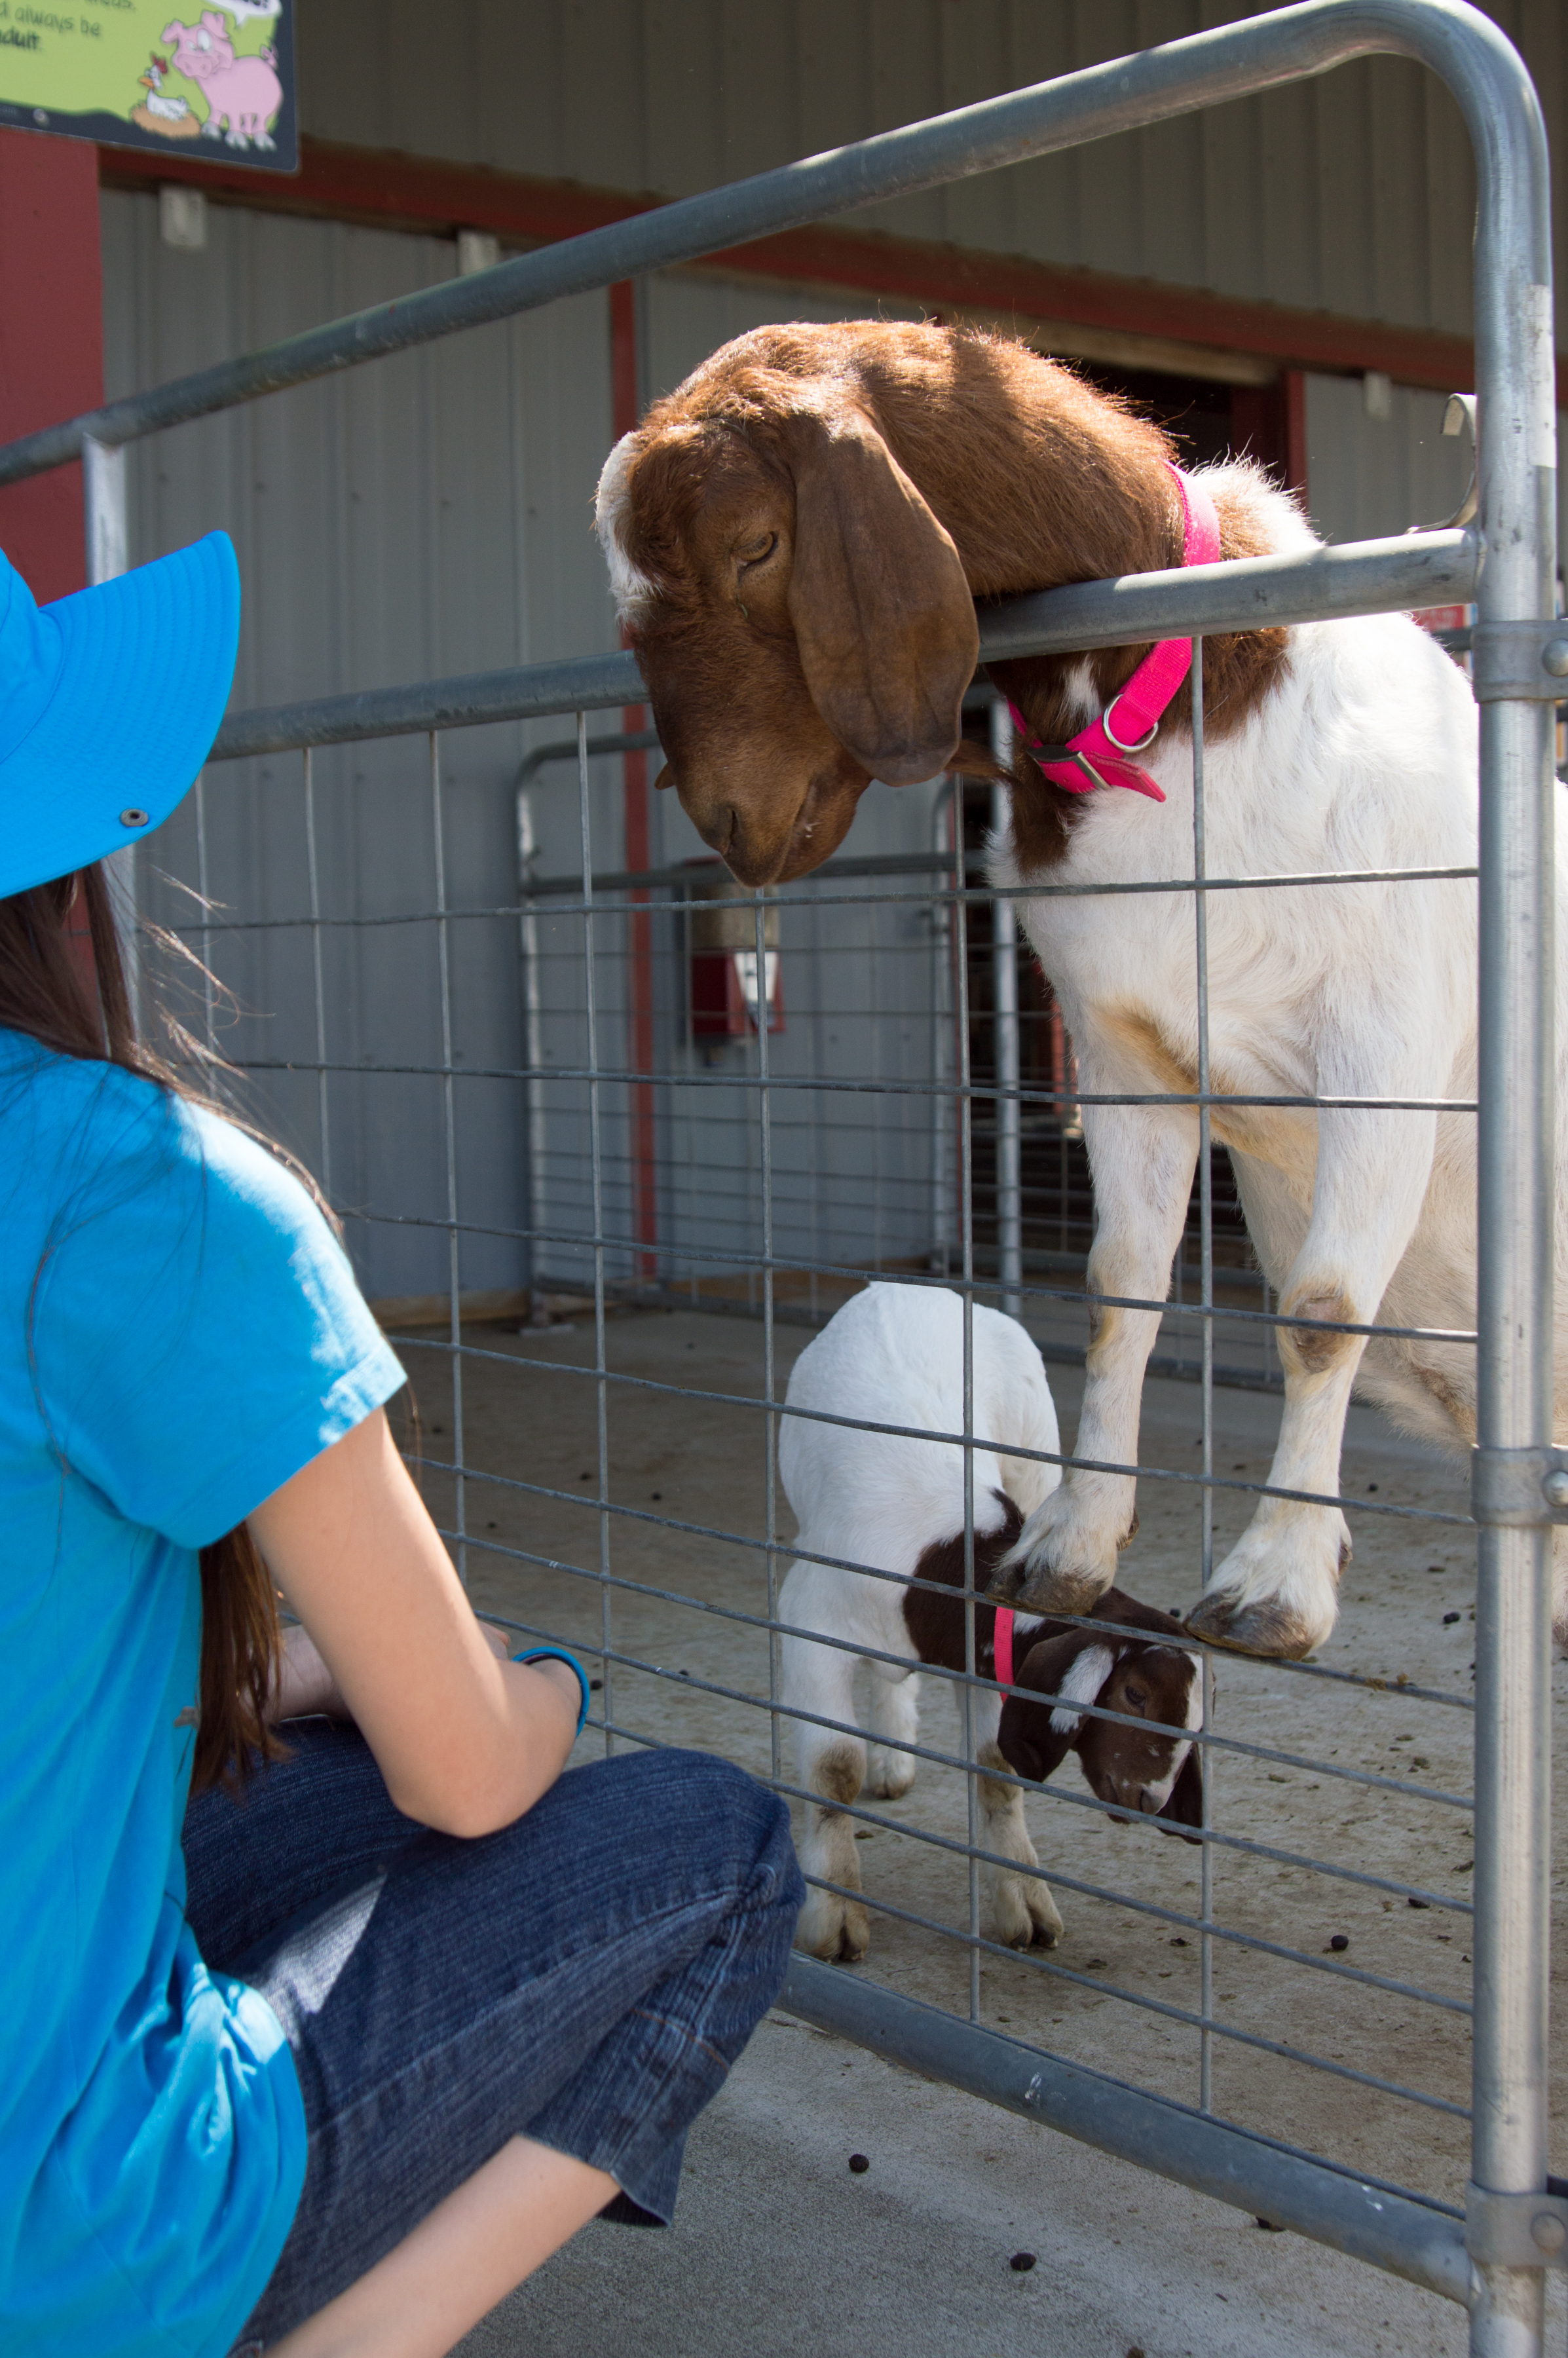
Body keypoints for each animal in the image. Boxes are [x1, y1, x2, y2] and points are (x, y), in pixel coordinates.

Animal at [596, 319, 1565, 1662]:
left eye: (755, 543)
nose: (728, 823)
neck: (1172, 702)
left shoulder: (1387, 1040)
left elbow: (1318, 1310)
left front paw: (1272, 1586)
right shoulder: (1119, 1050)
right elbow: (1116, 1293)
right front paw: (1067, 1547)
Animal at [777, 1282, 1201, 1963]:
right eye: (1134, 1694)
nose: (1153, 1800)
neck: (942, 1559)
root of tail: (900, 1287)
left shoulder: (982, 1655)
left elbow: (996, 1771)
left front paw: (1025, 1905)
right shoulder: (812, 1624)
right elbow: (834, 1771)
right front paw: (836, 1920)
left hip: (1037, 1451)